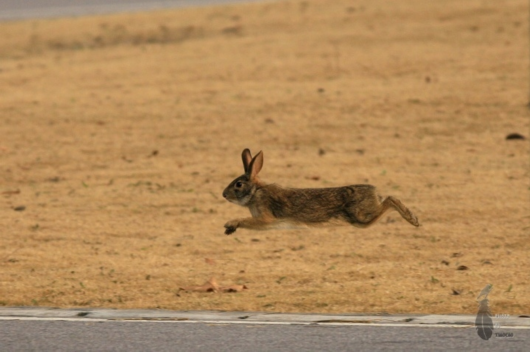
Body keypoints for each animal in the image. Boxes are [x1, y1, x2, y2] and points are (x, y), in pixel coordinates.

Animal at [221, 148, 418, 234]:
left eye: (238, 184)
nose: (224, 194)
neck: (256, 191)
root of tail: (374, 191)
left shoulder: (266, 218)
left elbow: (247, 221)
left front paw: (230, 224)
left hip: (360, 218)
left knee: (390, 200)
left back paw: (413, 219)